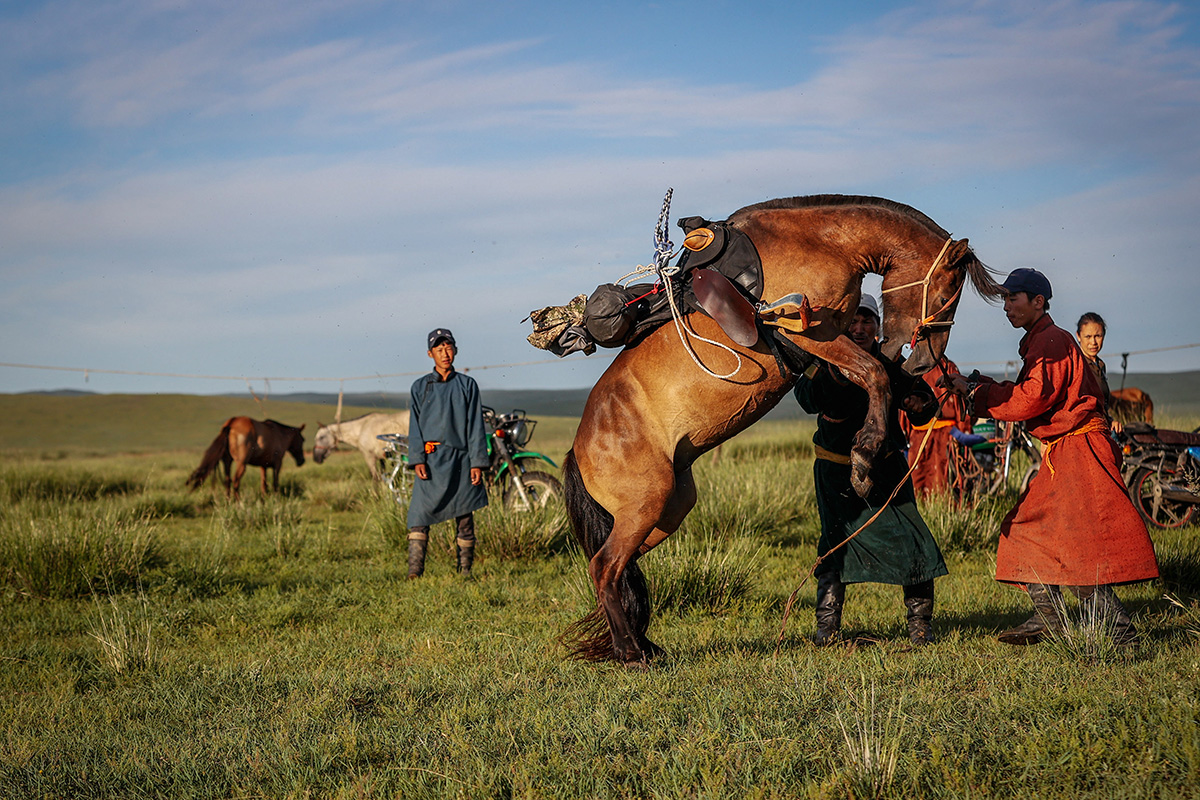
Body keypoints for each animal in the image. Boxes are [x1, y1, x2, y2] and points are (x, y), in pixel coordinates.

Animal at [561, 194, 1003, 662]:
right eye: (947, 293)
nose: (923, 361)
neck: (823, 243)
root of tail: (579, 448)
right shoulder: (812, 332)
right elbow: (875, 372)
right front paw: (864, 461)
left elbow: (881, 372)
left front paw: (918, 401)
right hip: (646, 505)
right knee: (604, 567)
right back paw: (631, 652)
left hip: (666, 508)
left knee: (619, 567)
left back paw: (641, 644)